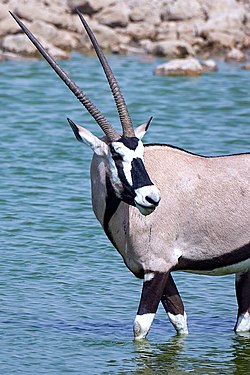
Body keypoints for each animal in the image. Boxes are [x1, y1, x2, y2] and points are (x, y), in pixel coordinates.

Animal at [11, 11, 250, 340]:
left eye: (141, 153)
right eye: (116, 155)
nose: (152, 198)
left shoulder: (158, 268)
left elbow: (140, 327)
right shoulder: (157, 272)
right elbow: (180, 322)